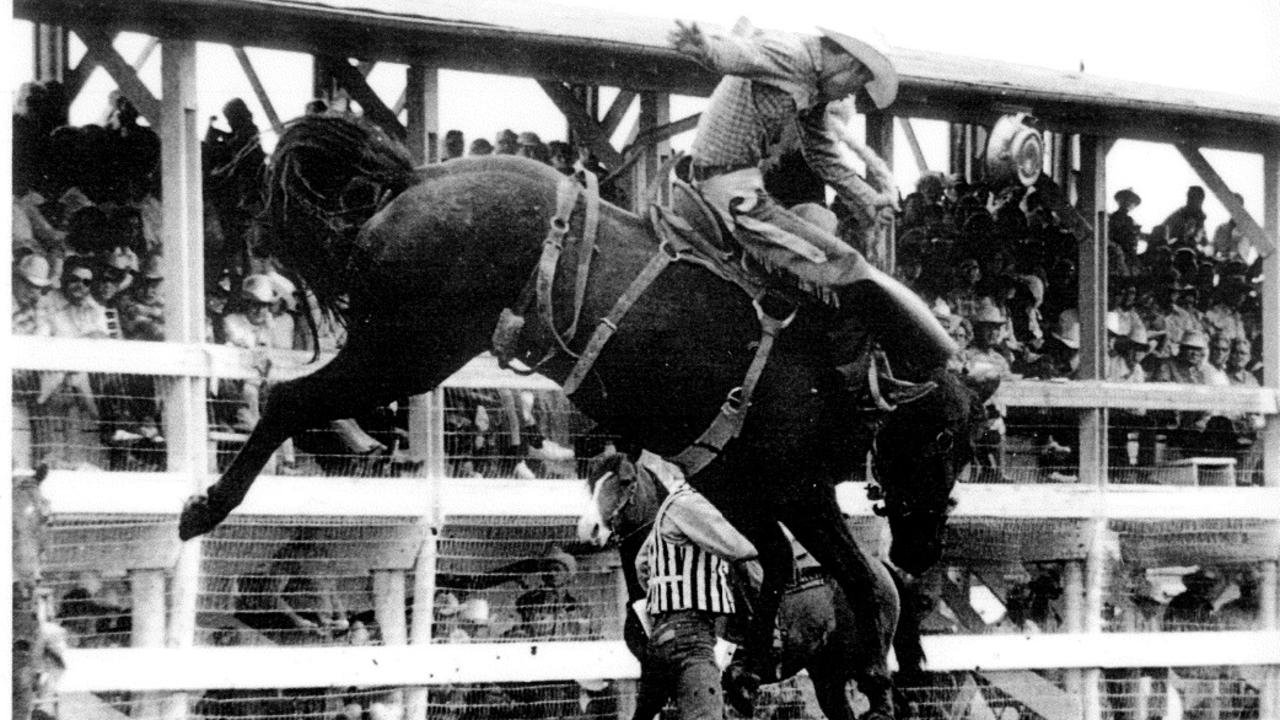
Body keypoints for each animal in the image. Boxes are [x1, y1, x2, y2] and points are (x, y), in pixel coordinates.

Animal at [180, 114, 993, 712]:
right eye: (941, 439)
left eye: (964, 447)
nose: (926, 547)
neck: (844, 368)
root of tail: (413, 178)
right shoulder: (770, 486)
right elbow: (818, 569)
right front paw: (811, 667)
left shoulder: (758, 486)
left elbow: (809, 568)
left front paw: (776, 664)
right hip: (407, 349)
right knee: (290, 399)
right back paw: (203, 508)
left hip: (407, 348)